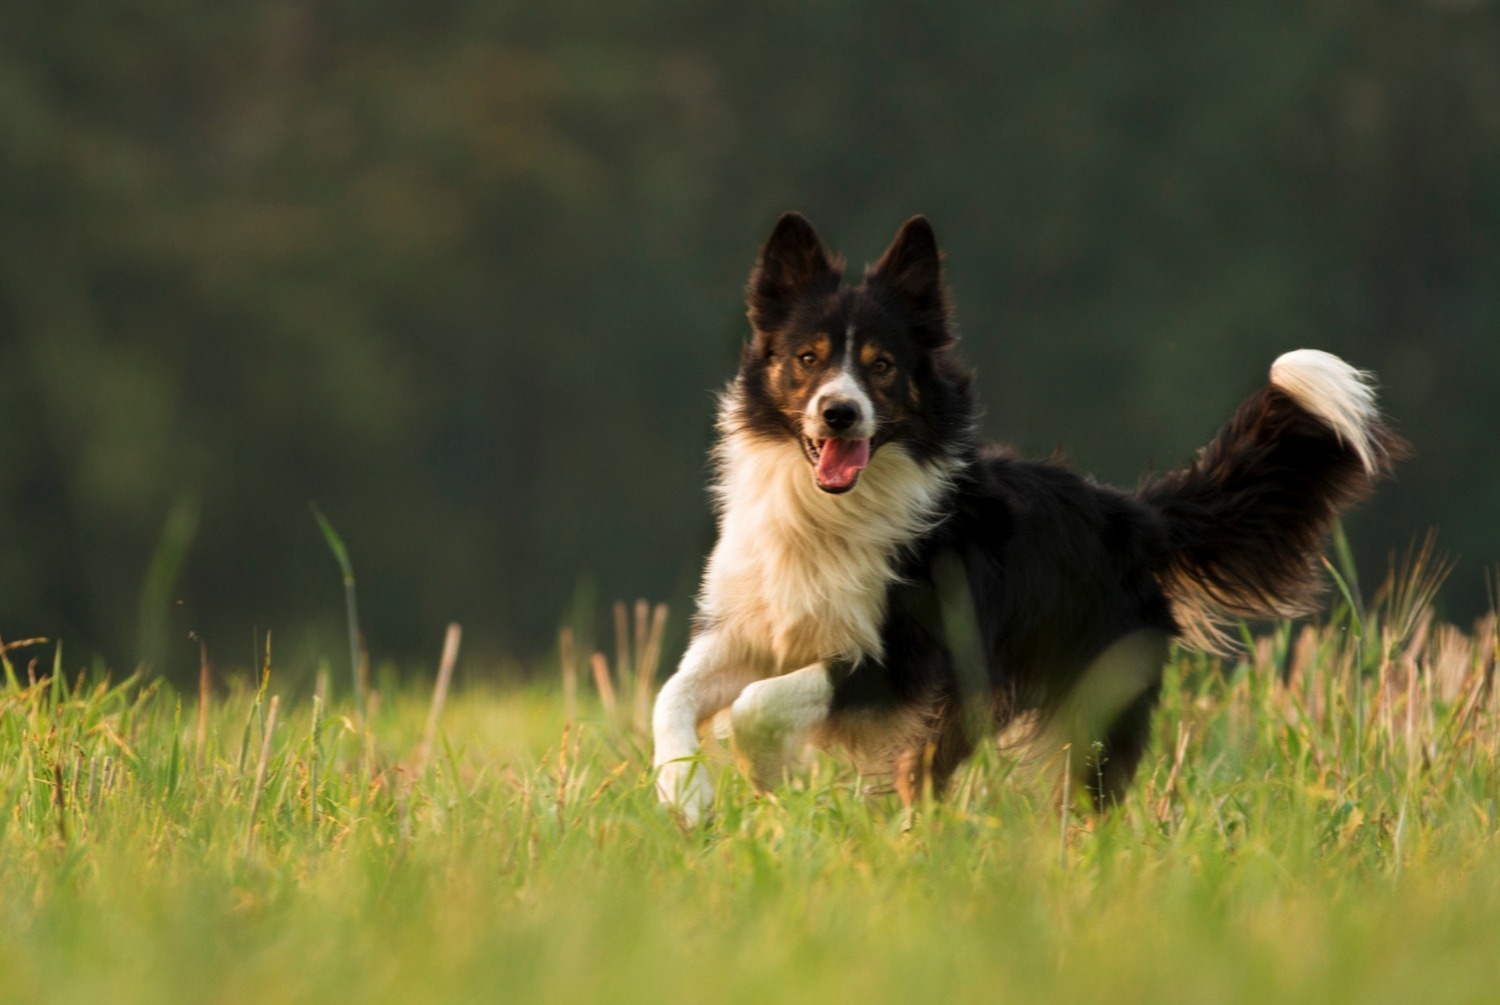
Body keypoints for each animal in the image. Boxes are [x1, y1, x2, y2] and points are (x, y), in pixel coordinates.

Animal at [651, 214, 1398, 828]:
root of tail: (1131, 512)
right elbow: (672, 693)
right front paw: (685, 797)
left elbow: (757, 704)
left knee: (1081, 794)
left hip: (1078, 698)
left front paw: (764, 772)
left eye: (882, 367)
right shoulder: (753, 626)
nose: (840, 413)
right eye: (808, 358)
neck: (829, 510)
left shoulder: (904, 657)